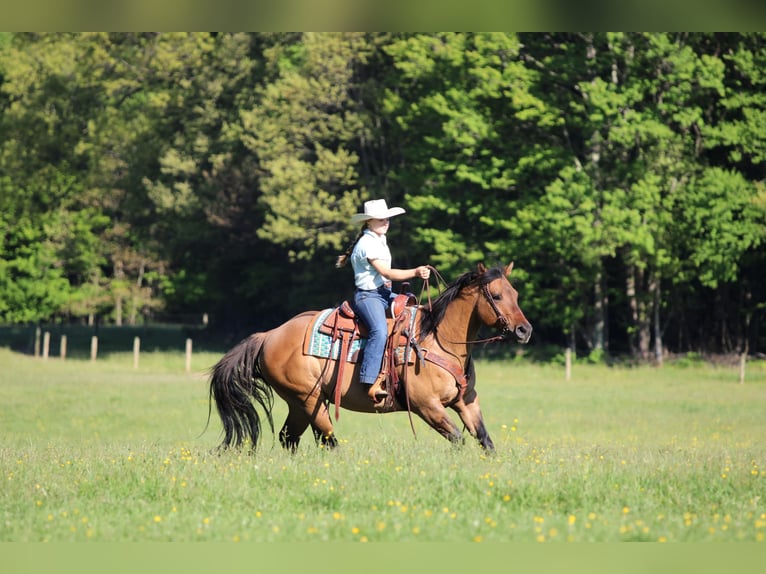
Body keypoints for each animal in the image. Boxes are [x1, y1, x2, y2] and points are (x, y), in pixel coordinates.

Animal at [208, 262, 532, 453]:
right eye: (496, 296)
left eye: (515, 293)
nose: (524, 330)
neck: (438, 340)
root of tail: (269, 335)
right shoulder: (427, 406)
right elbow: (458, 439)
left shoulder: (465, 401)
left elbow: (484, 440)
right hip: (309, 401)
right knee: (327, 440)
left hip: (301, 404)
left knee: (291, 438)